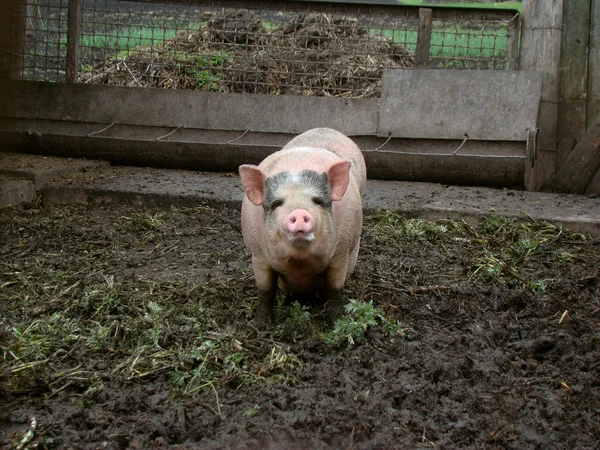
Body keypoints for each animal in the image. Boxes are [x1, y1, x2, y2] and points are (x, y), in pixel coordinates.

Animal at [239, 127, 366, 326]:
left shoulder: (341, 252)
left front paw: (338, 323)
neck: (300, 265)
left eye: (318, 201)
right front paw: (257, 326)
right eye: (276, 203)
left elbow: (335, 290)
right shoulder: (257, 253)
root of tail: (328, 129)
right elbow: (265, 290)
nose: (299, 212)